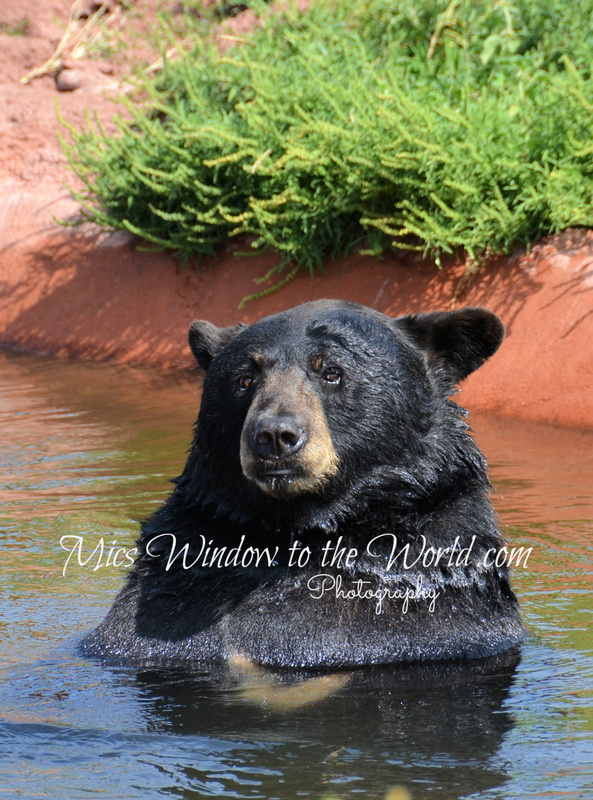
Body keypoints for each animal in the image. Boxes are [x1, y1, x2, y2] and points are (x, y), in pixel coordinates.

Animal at [80, 299, 525, 668]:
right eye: (245, 379)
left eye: (331, 372)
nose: (275, 436)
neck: (300, 530)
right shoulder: (183, 577)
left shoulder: (425, 593)